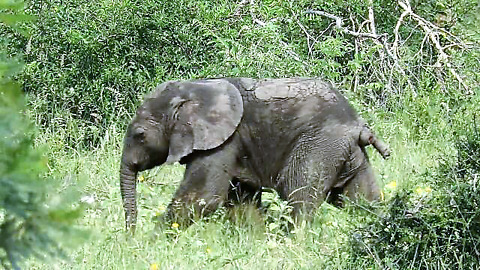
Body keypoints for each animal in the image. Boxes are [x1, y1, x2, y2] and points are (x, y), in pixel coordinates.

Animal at [120, 77, 390, 231]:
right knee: (361, 199)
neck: (195, 88)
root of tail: (358, 125)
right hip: (348, 151)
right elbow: (242, 201)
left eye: (140, 135)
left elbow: (202, 197)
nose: (131, 237)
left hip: (320, 144)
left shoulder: (224, 140)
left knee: (299, 195)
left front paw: (150, 243)